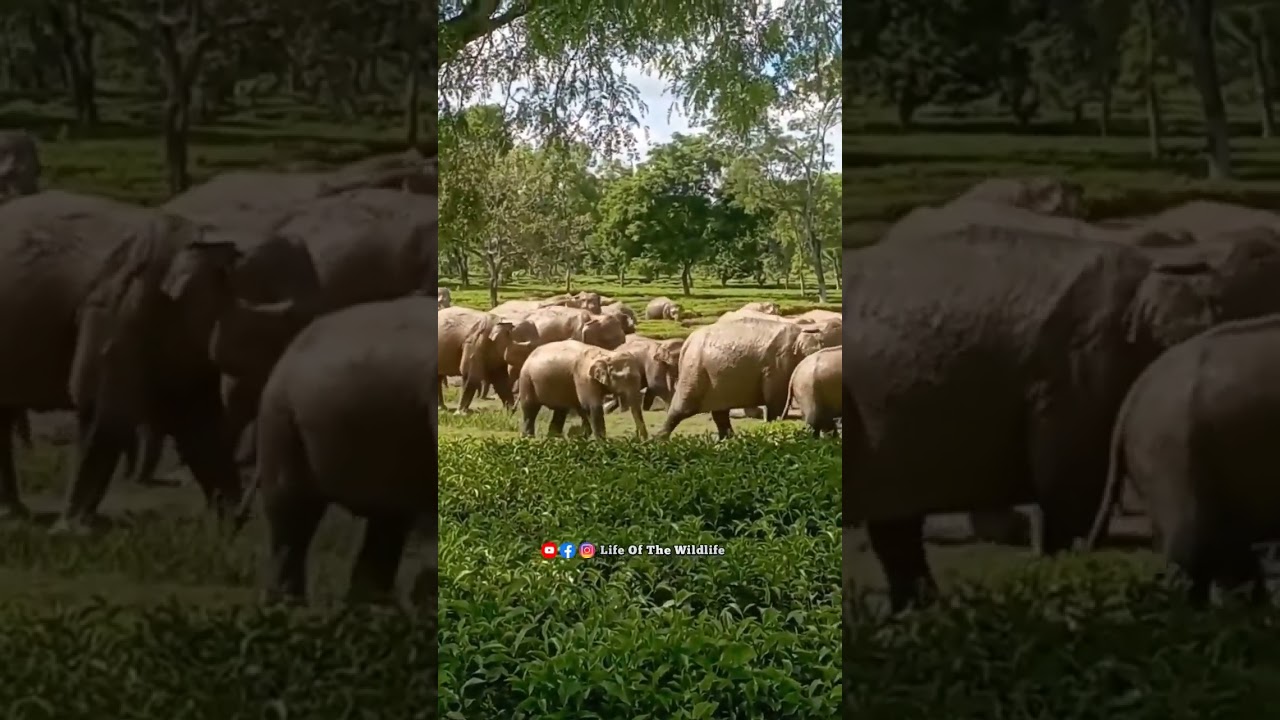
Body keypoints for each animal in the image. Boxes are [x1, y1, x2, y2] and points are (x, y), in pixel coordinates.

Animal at [0, 190, 295, 531]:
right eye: (268, 338)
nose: (246, 514)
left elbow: (197, 420)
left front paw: (226, 524)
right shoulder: (116, 311)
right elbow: (102, 409)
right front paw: (72, 531)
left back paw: (13, 513)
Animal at [518, 340, 647, 439]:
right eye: (624, 378)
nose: (641, 439)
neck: (606, 354)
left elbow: (584, 408)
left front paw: (581, 436)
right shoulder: (583, 378)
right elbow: (591, 406)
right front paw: (602, 444)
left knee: (560, 411)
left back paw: (553, 438)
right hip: (526, 379)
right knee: (530, 409)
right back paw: (529, 438)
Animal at [657, 318, 824, 439]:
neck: (800, 331)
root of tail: (687, 343)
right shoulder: (777, 365)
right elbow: (775, 402)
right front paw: (773, 430)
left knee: (719, 413)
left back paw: (729, 440)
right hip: (695, 371)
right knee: (681, 408)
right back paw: (658, 441)